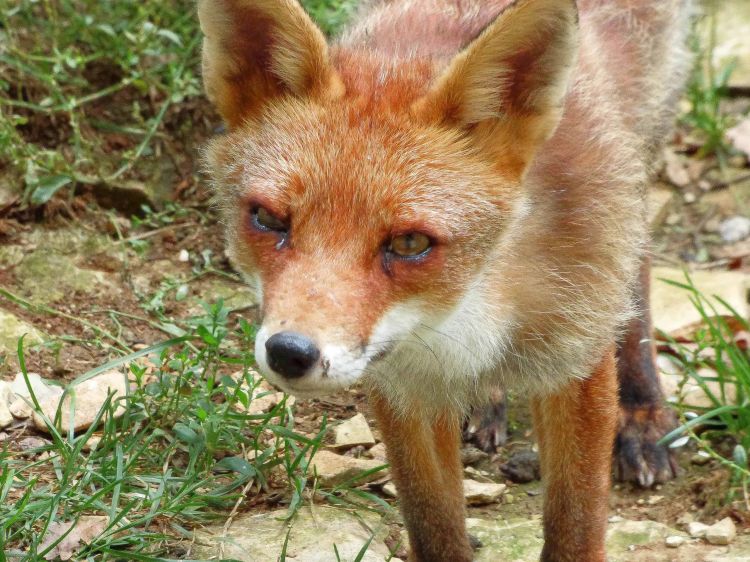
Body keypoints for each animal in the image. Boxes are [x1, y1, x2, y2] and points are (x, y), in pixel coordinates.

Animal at [197, 0, 692, 556]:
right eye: (268, 219)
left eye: (410, 243)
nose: (289, 352)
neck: (472, 301)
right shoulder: (403, 383)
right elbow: (432, 523)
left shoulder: (575, 354)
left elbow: (576, 524)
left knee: (638, 268)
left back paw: (643, 413)